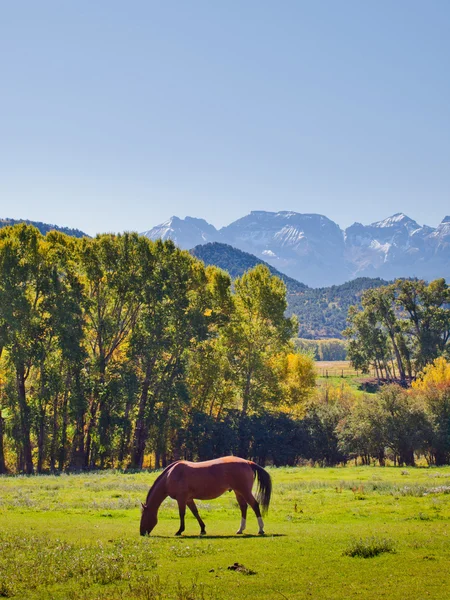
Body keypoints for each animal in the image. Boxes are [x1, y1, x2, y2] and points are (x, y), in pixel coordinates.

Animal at [139, 458, 270, 536]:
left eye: (144, 516)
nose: (142, 532)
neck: (170, 476)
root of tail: (247, 462)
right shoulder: (188, 499)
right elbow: (195, 512)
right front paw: (202, 529)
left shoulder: (181, 498)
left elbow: (182, 514)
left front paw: (180, 530)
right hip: (238, 492)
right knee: (244, 507)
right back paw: (240, 529)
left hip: (244, 491)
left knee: (255, 505)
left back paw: (261, 529)